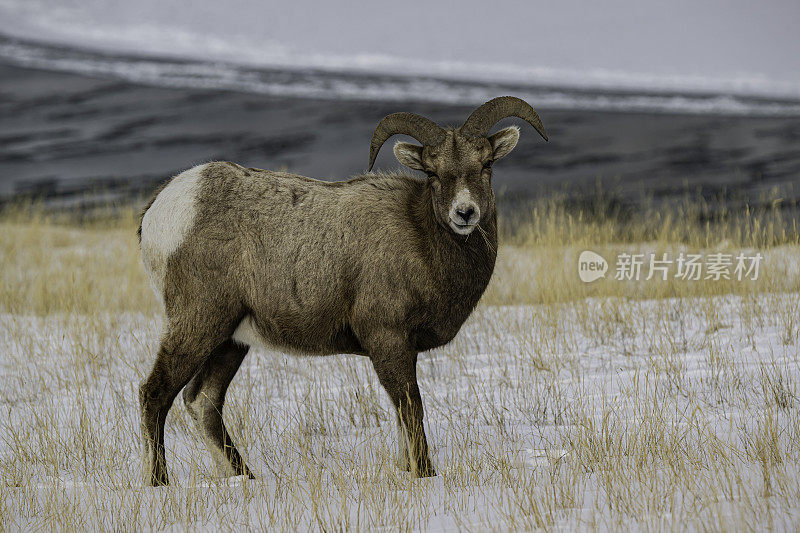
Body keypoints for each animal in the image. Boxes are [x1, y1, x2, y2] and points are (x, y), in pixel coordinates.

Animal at [139, 94, 552, 482]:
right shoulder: (387, 339)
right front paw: (425, 476)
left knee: (202, 401)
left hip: (230, 340)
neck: (425, 243)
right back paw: (160, 483)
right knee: (155, 394)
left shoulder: (404, 349)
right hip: (198, 324)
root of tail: (163, 208)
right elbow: (411, 410)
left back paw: (245, 478)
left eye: (486, 164)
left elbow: (401, 417)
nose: (464, 214)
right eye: (433, 172)